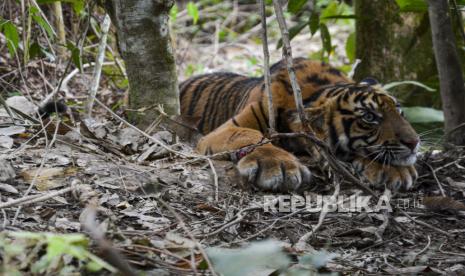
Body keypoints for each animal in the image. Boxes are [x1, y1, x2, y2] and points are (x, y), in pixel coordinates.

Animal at [179, 57, 418, 192]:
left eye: (400, 111)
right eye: (369, 117)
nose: (415, 142)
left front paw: (396, 171)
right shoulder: (225, 129)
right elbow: (250, 135)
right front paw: (278, 165)